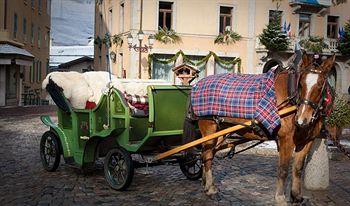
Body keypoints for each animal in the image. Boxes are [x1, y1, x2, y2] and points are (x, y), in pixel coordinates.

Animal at [185, 53, 334, 204]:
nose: (302, 119)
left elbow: (298, 168)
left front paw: (296, 196)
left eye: (320, 84)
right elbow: (283, 169)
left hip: (219, 131)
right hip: (208, 127)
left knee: (207, 155)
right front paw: (280, 198)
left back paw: (206, 183)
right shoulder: (286, 140)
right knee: (207, 155)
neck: (292, 97)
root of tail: (196, 85)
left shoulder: (307, 140)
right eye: (301, 83)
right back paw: (211, 189)